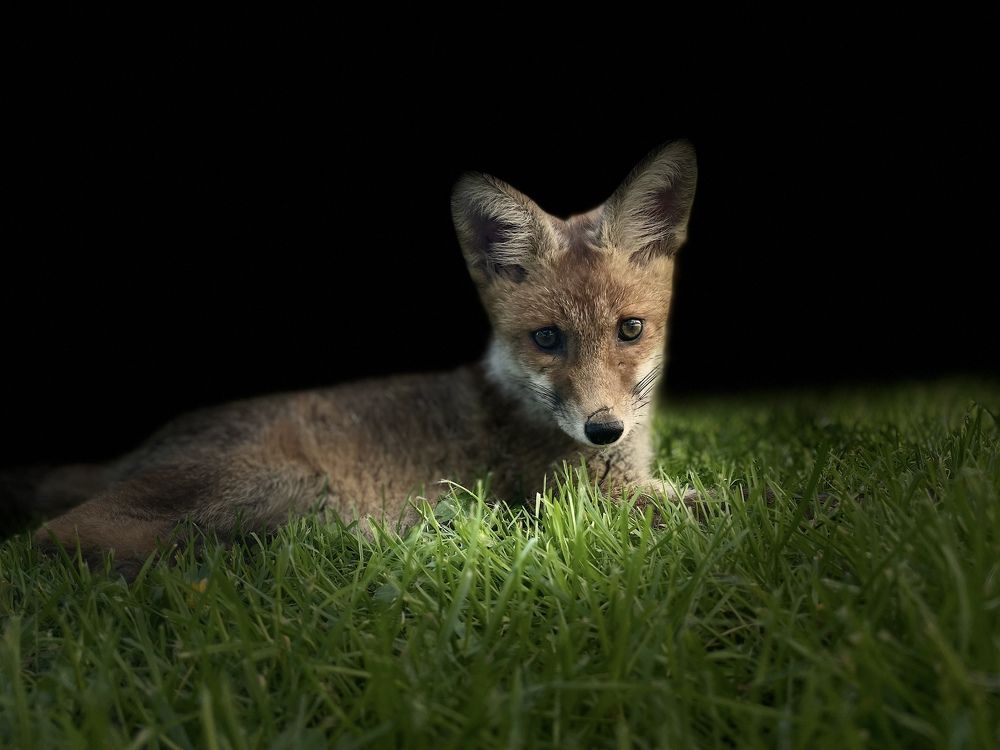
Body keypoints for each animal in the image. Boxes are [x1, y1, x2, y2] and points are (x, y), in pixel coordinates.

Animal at [20, 140, 698, 576]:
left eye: (630, 329)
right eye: (548, 338)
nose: (602, 430)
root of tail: (139, 451)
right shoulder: (582, 495)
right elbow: (720, 509)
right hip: (270, 477)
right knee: (55, 537)